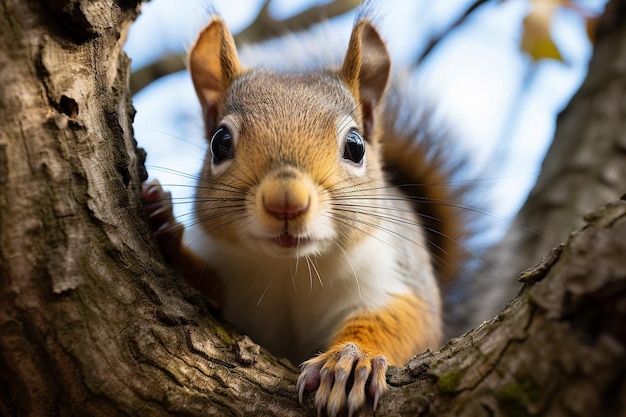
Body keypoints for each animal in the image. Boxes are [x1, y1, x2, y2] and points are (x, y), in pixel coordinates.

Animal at [141, 12, 468, 416]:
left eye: (356, 146)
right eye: (220, 142)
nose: (286, 201)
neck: (291, 270)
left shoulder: (395, 273)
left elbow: (402, 320)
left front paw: (349, 362)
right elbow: (205, 284)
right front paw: (163, 221)